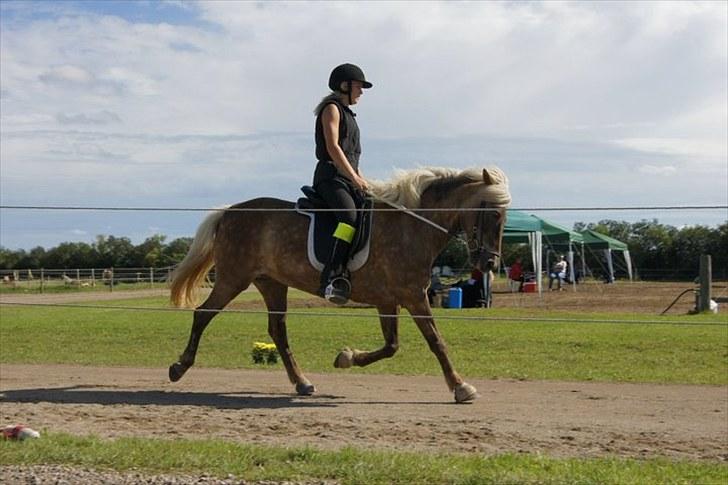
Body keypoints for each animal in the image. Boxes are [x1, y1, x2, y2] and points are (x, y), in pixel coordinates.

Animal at [169, 165, 512, 400]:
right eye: (493, 214)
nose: (490, 264)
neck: (413, 225)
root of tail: (229, 212)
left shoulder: (389, 300)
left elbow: (391, 346)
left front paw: (346, 357)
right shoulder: (414, 296)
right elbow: (436, 341)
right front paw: (460, 386)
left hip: (272, 283)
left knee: (277, 331)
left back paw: (302, 382)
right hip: (234, 279)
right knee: (203, 314)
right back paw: (179, 367)